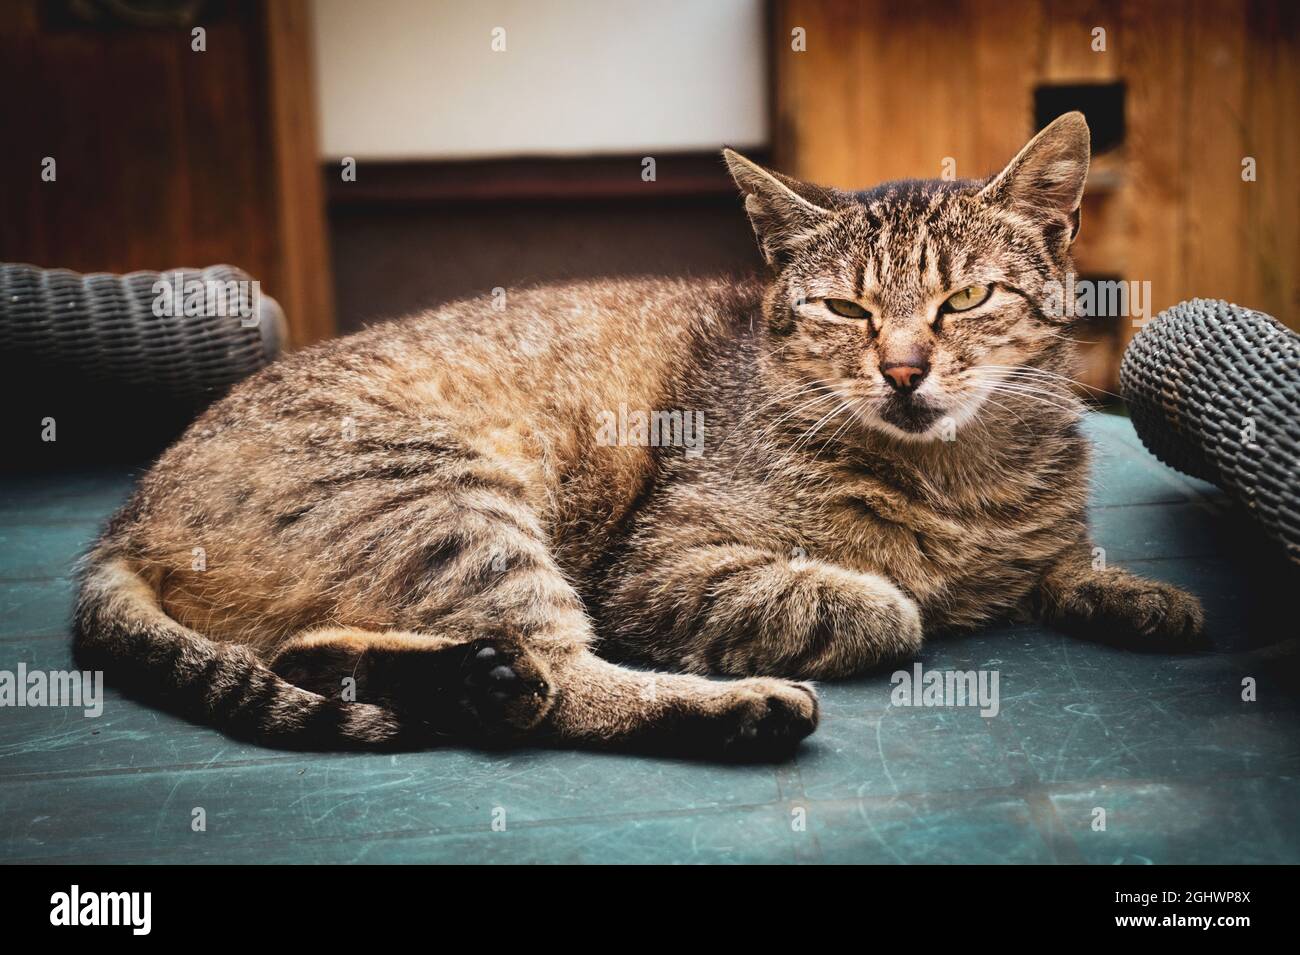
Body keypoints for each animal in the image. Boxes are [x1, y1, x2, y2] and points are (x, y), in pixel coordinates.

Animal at [73, 115, 1206, 764]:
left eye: (965, 298)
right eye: (844, 309)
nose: (902, 371)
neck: (958, 477)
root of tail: (124, 516)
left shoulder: (1036, 536)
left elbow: (1063, 562)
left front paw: (1139, 594)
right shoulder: (660, 566)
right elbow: (884, 606)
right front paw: (899, 593)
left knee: (313, 651)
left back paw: (454, 677)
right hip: (453, 505)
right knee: (557, 684)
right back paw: (729, 710)